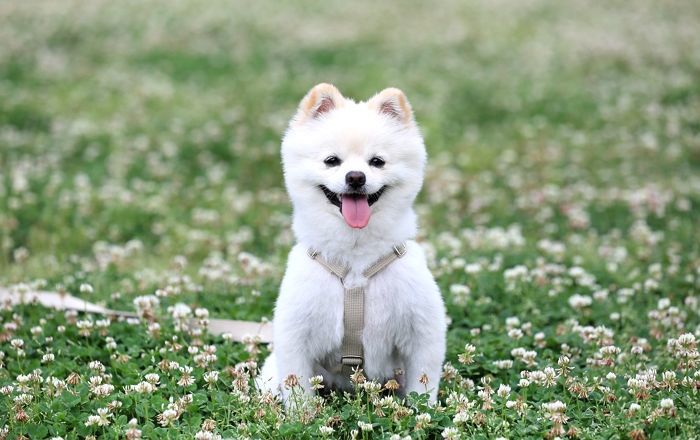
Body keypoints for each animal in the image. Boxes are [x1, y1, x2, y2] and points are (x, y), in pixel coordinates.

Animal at [260, 84, 446, 404]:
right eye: (332, 160)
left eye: (377, 162)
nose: (356, 177)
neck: (356, 265)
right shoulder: (295, 334)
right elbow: (299, 390)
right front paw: (303, 413)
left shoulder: (422, 331)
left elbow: (423, 387)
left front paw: (425, 411)